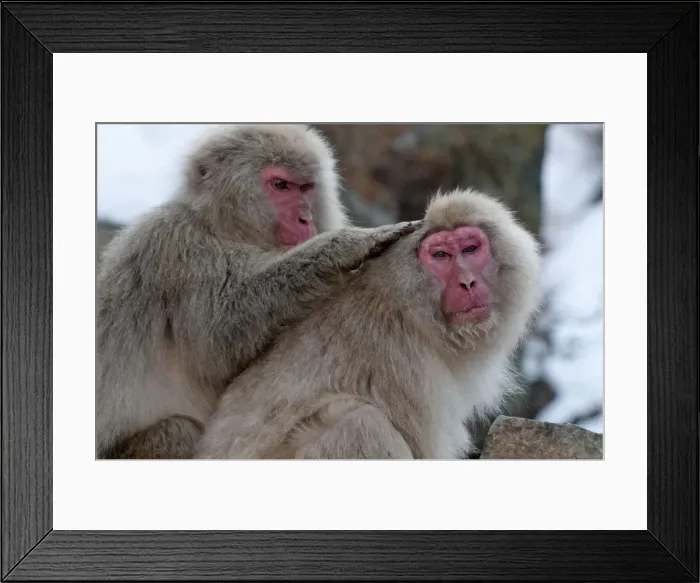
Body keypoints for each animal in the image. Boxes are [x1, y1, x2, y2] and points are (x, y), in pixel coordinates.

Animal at [96, 123, 421, 460]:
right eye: (280, 185)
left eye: (305, 187)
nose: (306, 219)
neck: (224, 230)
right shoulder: (177, 248)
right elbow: (221, 336)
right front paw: (345, 245)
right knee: (176, 430)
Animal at [194, 187, 542, 460]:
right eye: (441, 255)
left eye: (470, 249)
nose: (467, 282)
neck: (407, 307)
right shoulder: (406, 365)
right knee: (360, 423)